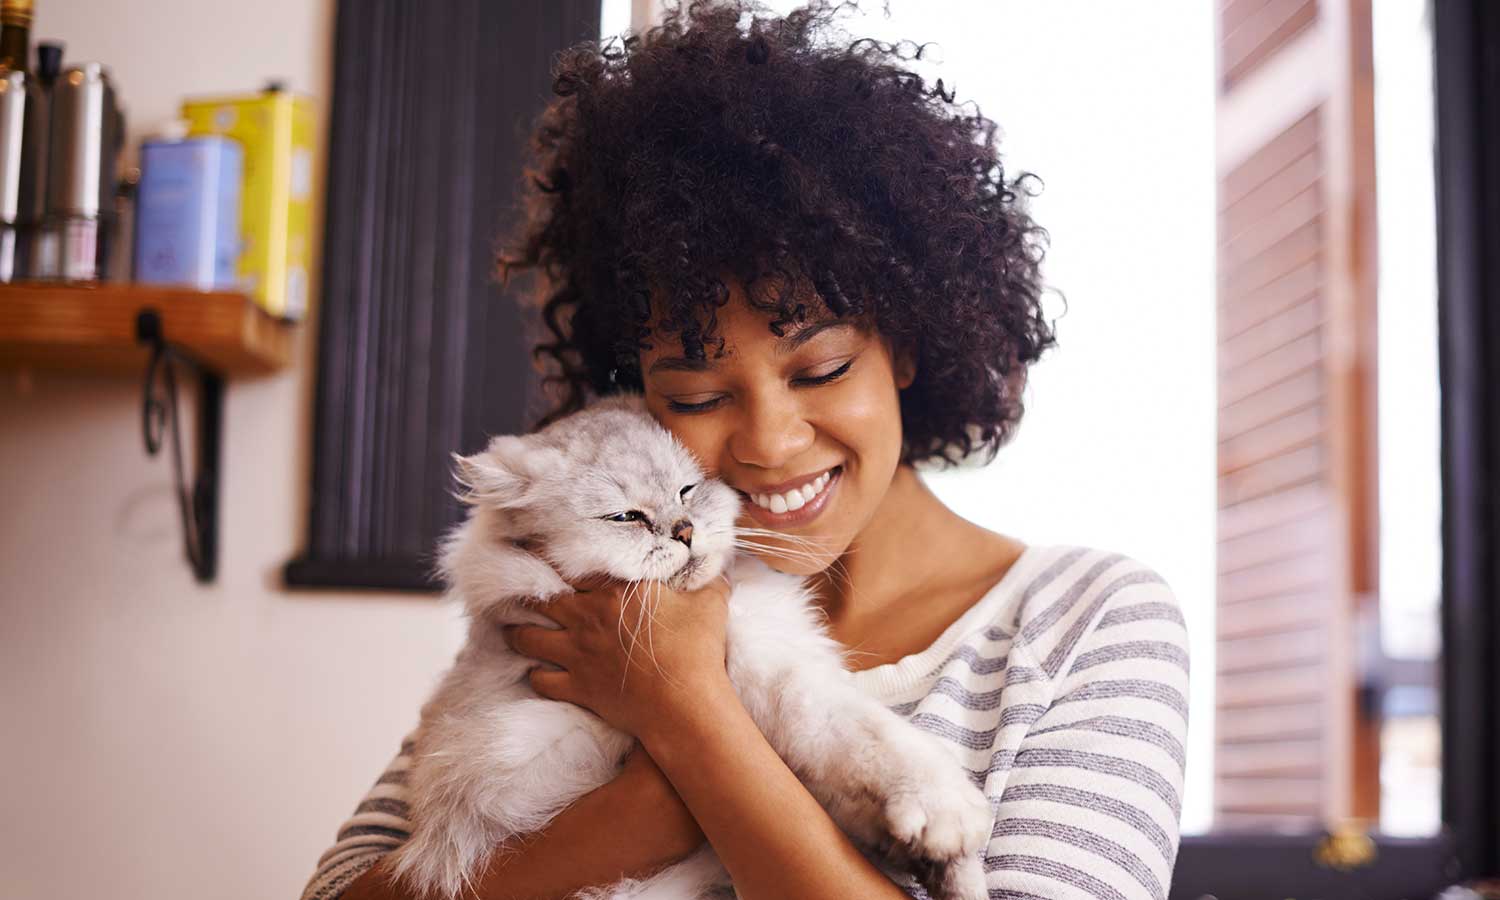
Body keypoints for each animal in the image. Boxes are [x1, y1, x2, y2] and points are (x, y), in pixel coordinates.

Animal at [393, 396, 990, 894]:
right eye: (625, 517)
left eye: (687, 490)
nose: (682, 531)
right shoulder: (770, 677)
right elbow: (869, 740)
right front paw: (945, 819)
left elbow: (862, 770)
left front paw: (940, 858)